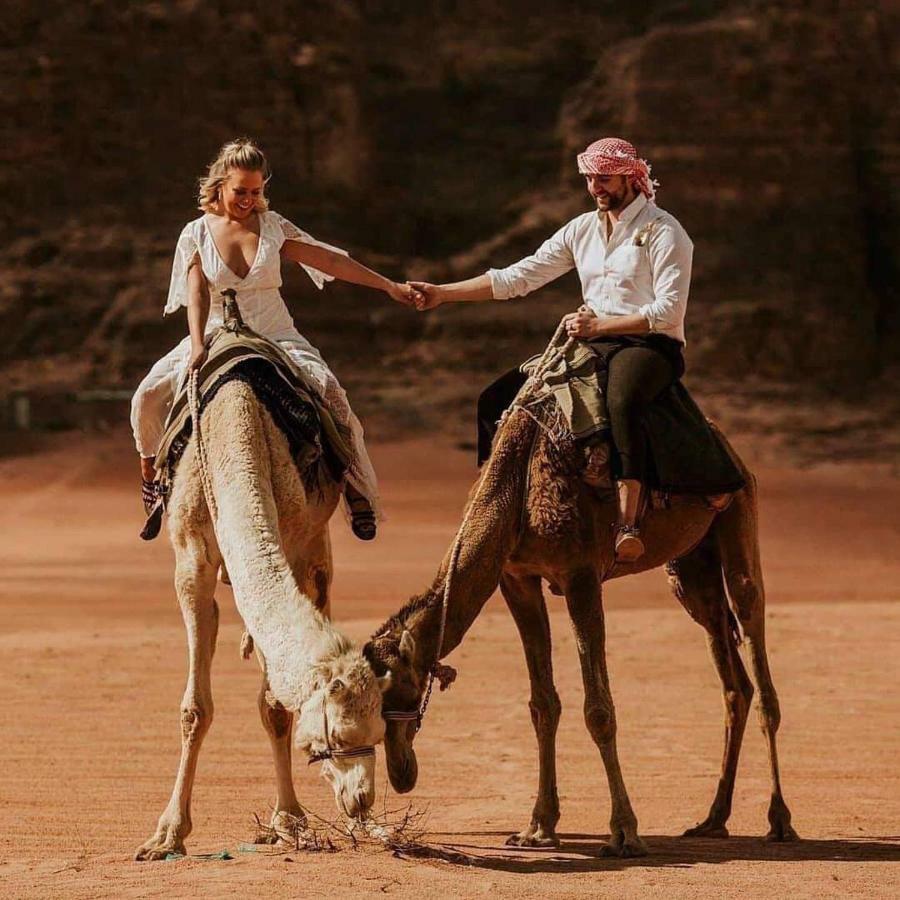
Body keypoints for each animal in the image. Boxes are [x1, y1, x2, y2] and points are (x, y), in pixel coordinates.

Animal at [135, 376, 388, 860]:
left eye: (381, 732)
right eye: (337, 737)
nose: (362, 799)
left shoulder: (295, 541)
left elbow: (274, 706)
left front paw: (289, 821)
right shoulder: (190, 561)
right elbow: (194, 708)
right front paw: (166, 835)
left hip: (319, 542)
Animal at [362, 408, 800, 856]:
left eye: (404, 693)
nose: (401, 774)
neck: (514, 494)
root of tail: (727, 445)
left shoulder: (581, 575)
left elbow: (599, 710)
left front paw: (624, 833)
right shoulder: (516, 577)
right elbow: (543, 704)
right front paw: (537, 829)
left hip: (739, 509)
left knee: (753, 626)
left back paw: (779, 821)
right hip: (690, 566)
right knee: (733, 678)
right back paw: (713, 820)